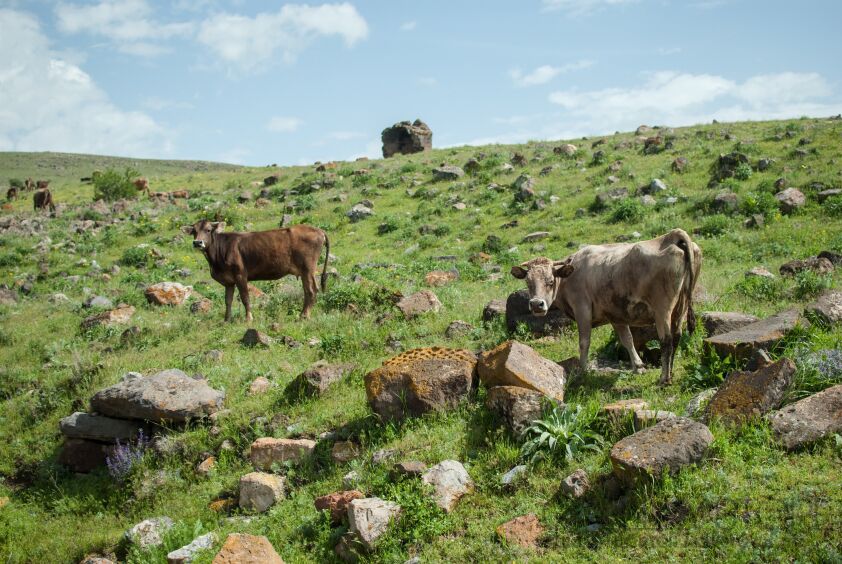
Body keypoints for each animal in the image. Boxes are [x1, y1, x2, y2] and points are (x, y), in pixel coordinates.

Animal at [182, 219, 330, 322]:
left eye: (208, 230)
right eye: (194, 231)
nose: (197, 242)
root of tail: (318, 230)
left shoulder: (241, 275)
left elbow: (245, 298)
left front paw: (248, 318)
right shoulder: (229, 281)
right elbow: (228, 301)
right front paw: (226, 320)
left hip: (307, 268)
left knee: (311, 290)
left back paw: (303, 316)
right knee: (309, 291)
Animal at [508, 227, 700, 386]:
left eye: (550, 281)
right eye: (528, 282)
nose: (536, 304)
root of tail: (672, 235)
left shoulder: (582, 309)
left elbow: (584, 342)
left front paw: (583, 371)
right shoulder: (616, 314)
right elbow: (627, 339)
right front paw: (638, 367)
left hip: (662, 309)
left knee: (666, 340)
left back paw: (664, 378)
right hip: (681, 307)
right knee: (677, 336)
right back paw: (671, 372)